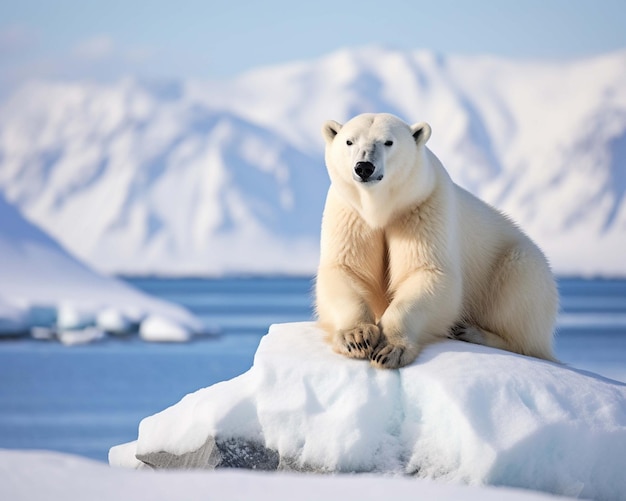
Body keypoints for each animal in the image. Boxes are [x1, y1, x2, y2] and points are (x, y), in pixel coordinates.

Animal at [314, 115, 560, 370]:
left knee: (521, 298)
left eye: (388, 142)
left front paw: (389, 349)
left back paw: (471, 332)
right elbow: (345, 269)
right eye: (349, 141)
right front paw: (356, 337)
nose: (364, 167)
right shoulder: (350, 213)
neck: (382, 210)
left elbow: (428, 273)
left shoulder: (425, 207)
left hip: (524, 267)